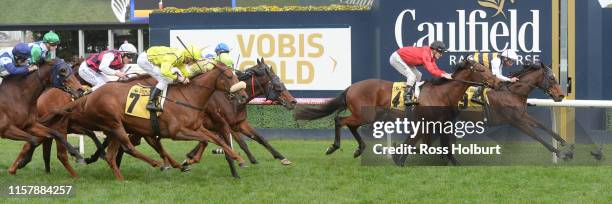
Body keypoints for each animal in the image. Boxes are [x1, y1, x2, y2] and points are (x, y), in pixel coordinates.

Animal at [40, 62, 249, 180]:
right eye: (229, 76)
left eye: (236, 75)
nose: (243, 95)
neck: (189, 97)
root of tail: (88, 96)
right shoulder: (176, 132)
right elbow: (207, 140)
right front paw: (187, 161)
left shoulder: (197, 127)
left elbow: (216, 139)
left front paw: (238, 159)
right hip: (114, 124)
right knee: (127, 148)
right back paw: (156, 164)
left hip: (113, 128)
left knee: (111, 155)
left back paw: (121, 178)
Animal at [294, 59, 500, 159]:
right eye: (481, 70)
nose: (497, 82)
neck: (442, 92)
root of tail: (351, 87)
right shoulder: (425, 123)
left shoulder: (436, 123)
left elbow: (431, 145)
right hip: (365, 114)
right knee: (340, 120)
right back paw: (334, 146)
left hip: (371, 115)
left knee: (350, 125)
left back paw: (360, 149)